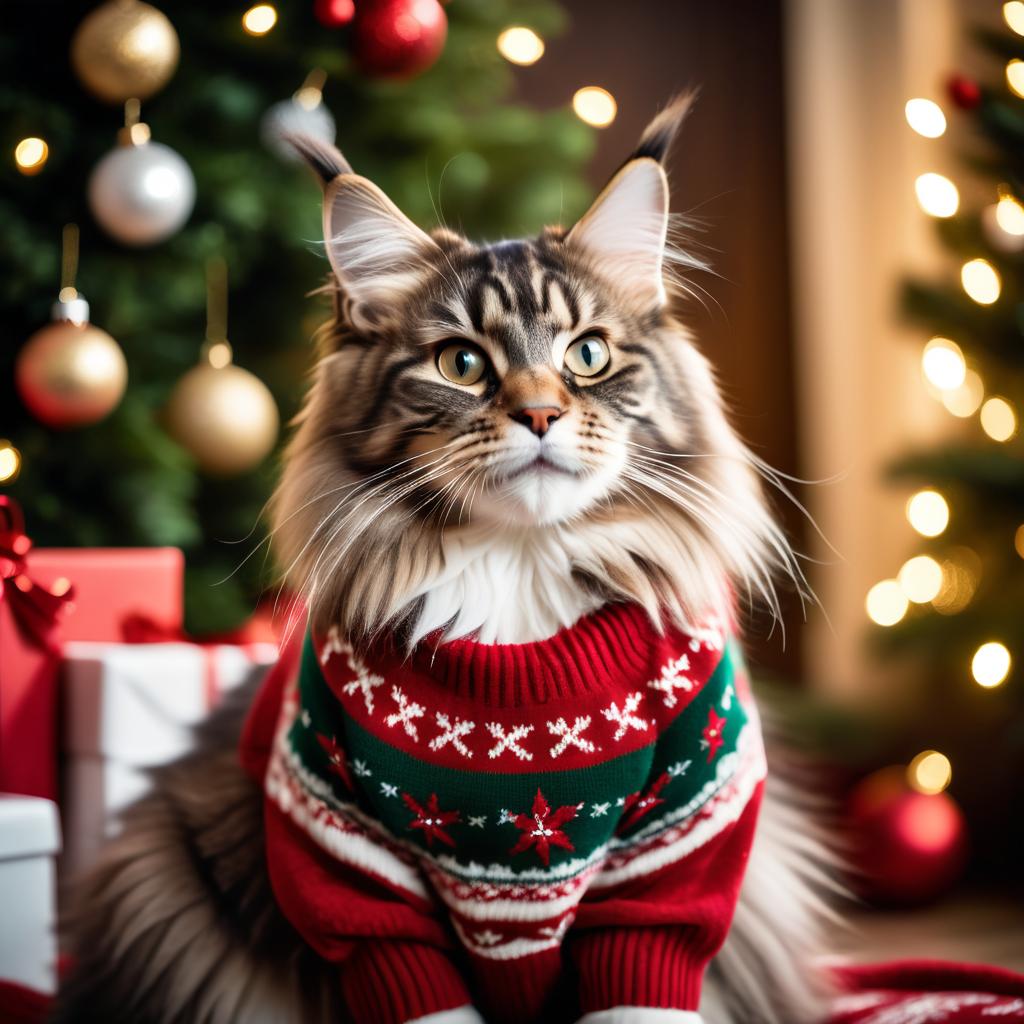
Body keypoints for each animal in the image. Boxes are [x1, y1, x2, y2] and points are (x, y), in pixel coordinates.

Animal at [51, 96, 839, 1024]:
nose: (539, 414)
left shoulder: (678, 848)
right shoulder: (345, 858)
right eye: (460, 363)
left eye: (587, 354)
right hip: (164, 881)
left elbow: (642, 984)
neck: (521, 579)